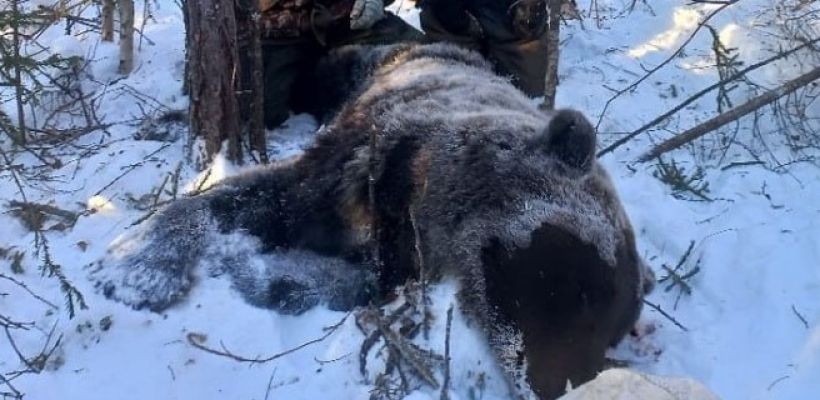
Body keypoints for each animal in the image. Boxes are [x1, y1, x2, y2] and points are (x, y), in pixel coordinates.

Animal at [88, 43, 655, 399]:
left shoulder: (396, 246)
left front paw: (261, 271)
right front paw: (138, 270)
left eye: (616, 326)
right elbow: (250, 197)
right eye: (580, 288)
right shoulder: (357, 173)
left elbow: (347, 282)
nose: (578, 380)